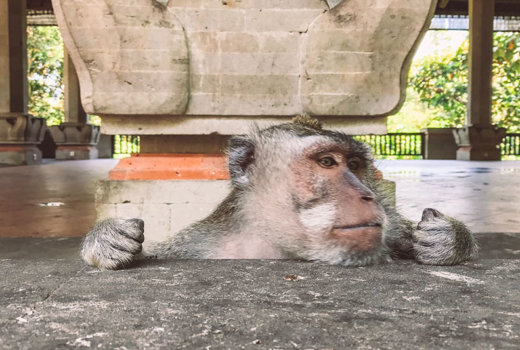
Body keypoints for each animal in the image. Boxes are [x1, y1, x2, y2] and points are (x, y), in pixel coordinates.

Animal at [82, 116, 480, 270]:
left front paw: (448, 238)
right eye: (326, 162)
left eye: (354, 164)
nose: (367, 195)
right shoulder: (194, 246)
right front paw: (107, 239)